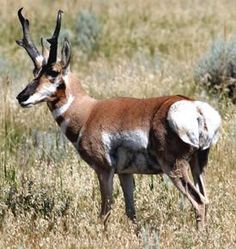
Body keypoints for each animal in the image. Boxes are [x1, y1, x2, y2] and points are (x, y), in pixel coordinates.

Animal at [16, 7, 221, 230]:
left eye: (53, 72)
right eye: (35, 71)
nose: (21, 97)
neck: (88, 112)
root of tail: (193, 106)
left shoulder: (104, 170)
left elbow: (105, 211)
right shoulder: (125, 173)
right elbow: (131, 212)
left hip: (174, 167)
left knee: (199, 201)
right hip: (198, 164)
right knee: (206, 198)